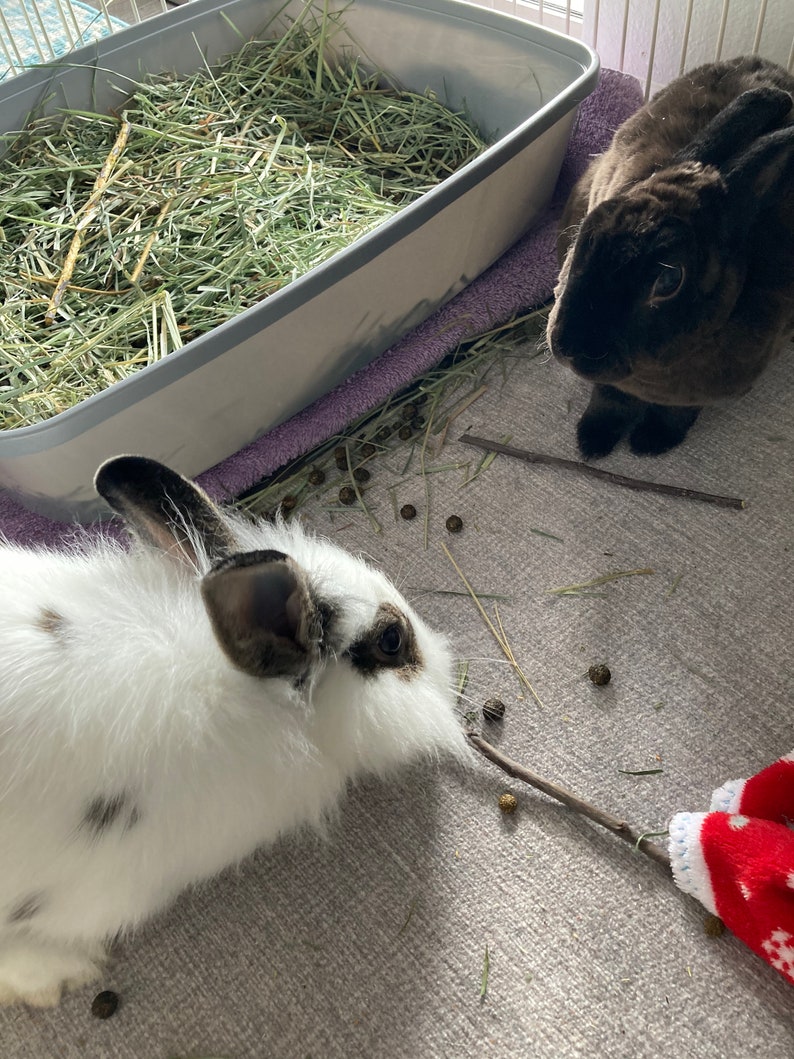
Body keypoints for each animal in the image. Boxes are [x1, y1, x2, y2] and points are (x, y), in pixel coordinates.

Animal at [546, 55, 794, 458]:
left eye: (668, 280)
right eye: (588, 234)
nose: (567, 347)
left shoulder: (694, 395)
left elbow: (676, 412)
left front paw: (652, 442)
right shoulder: (615, 385)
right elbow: (609, 398)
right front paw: (592, 439)